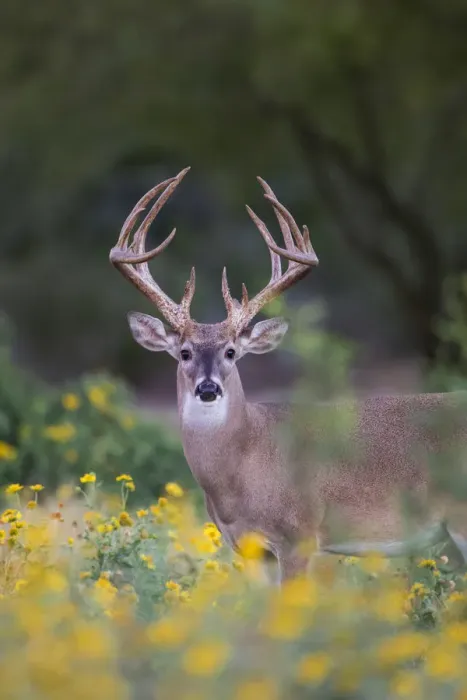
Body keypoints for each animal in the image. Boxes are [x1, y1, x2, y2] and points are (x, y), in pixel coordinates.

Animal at [110, 167, 467, 582]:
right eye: (184, 353)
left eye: (231, 352)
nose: (209, 388)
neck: (246, 460)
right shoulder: (249, 548)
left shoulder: (300, 533)